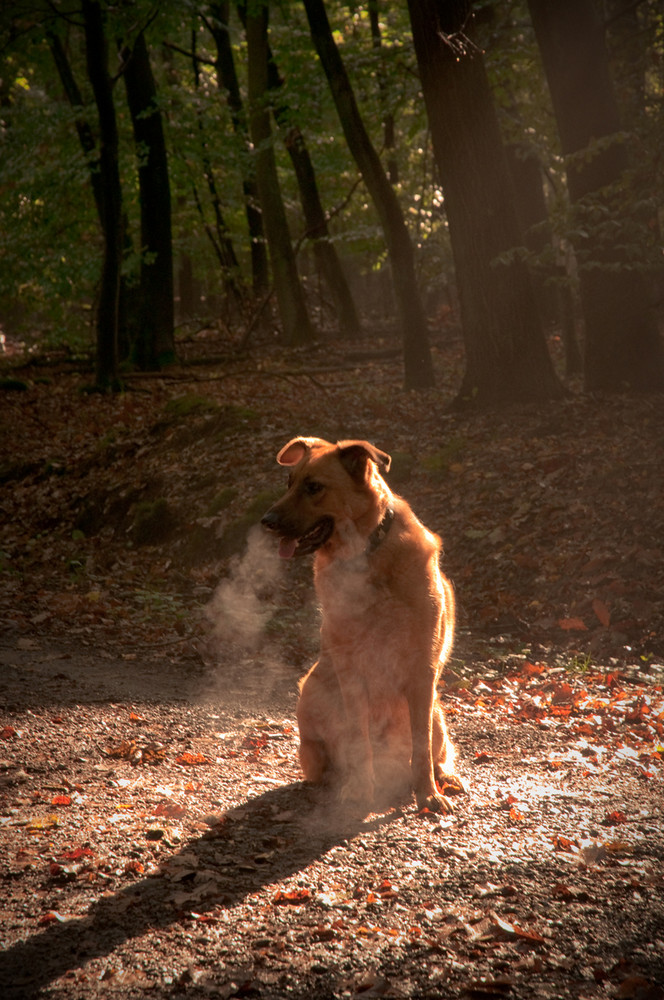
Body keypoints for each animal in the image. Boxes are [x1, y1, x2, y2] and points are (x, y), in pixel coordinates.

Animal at [262, 438, 460, 812]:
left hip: (437, 714)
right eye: (288, 482)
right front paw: (359, 790)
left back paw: (446, 778)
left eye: (314, 487)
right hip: (313, 693)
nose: (266, 521)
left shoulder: (422, 671)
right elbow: (359, 740)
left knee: (436, 752)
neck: (364, 554)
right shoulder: (351, 669)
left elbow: (421, 747)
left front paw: (427, 794)